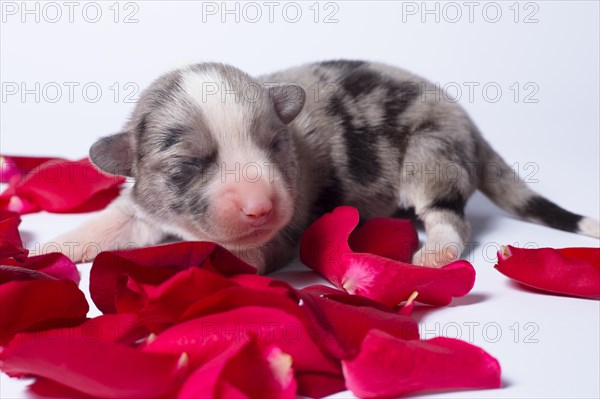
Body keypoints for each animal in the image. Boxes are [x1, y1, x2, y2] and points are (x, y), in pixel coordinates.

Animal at [51, 61, 600, 274]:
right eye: (190, 163)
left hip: (432, 152)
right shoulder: (142, 204)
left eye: (274, 144)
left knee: (448, 214)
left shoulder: (273, 239)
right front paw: (50, 248)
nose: (260, 206)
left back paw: (436, 252)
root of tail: (468, 120)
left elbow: (233, 253)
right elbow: (112, 222)